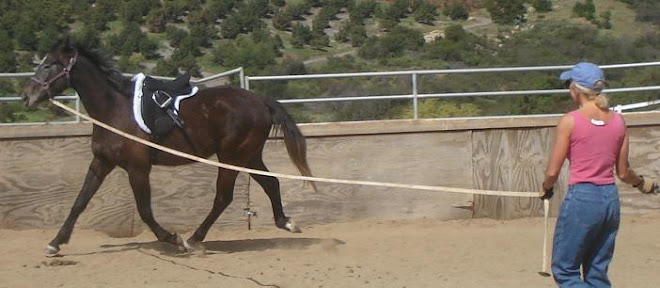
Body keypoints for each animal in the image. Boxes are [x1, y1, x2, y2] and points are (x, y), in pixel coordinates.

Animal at [21, 40, 316, 254]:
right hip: (248, 156)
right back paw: (286, 222)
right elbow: (79, 202)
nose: (26, 96)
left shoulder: (138, 168)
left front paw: (173, 239)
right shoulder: (101, 163)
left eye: (49, 65)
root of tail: (259, 100)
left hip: (231, 158)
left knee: (224, 197)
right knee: (271, 183)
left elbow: (145, 210)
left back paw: (194, 239)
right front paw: (55, 243)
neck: (114, 110)